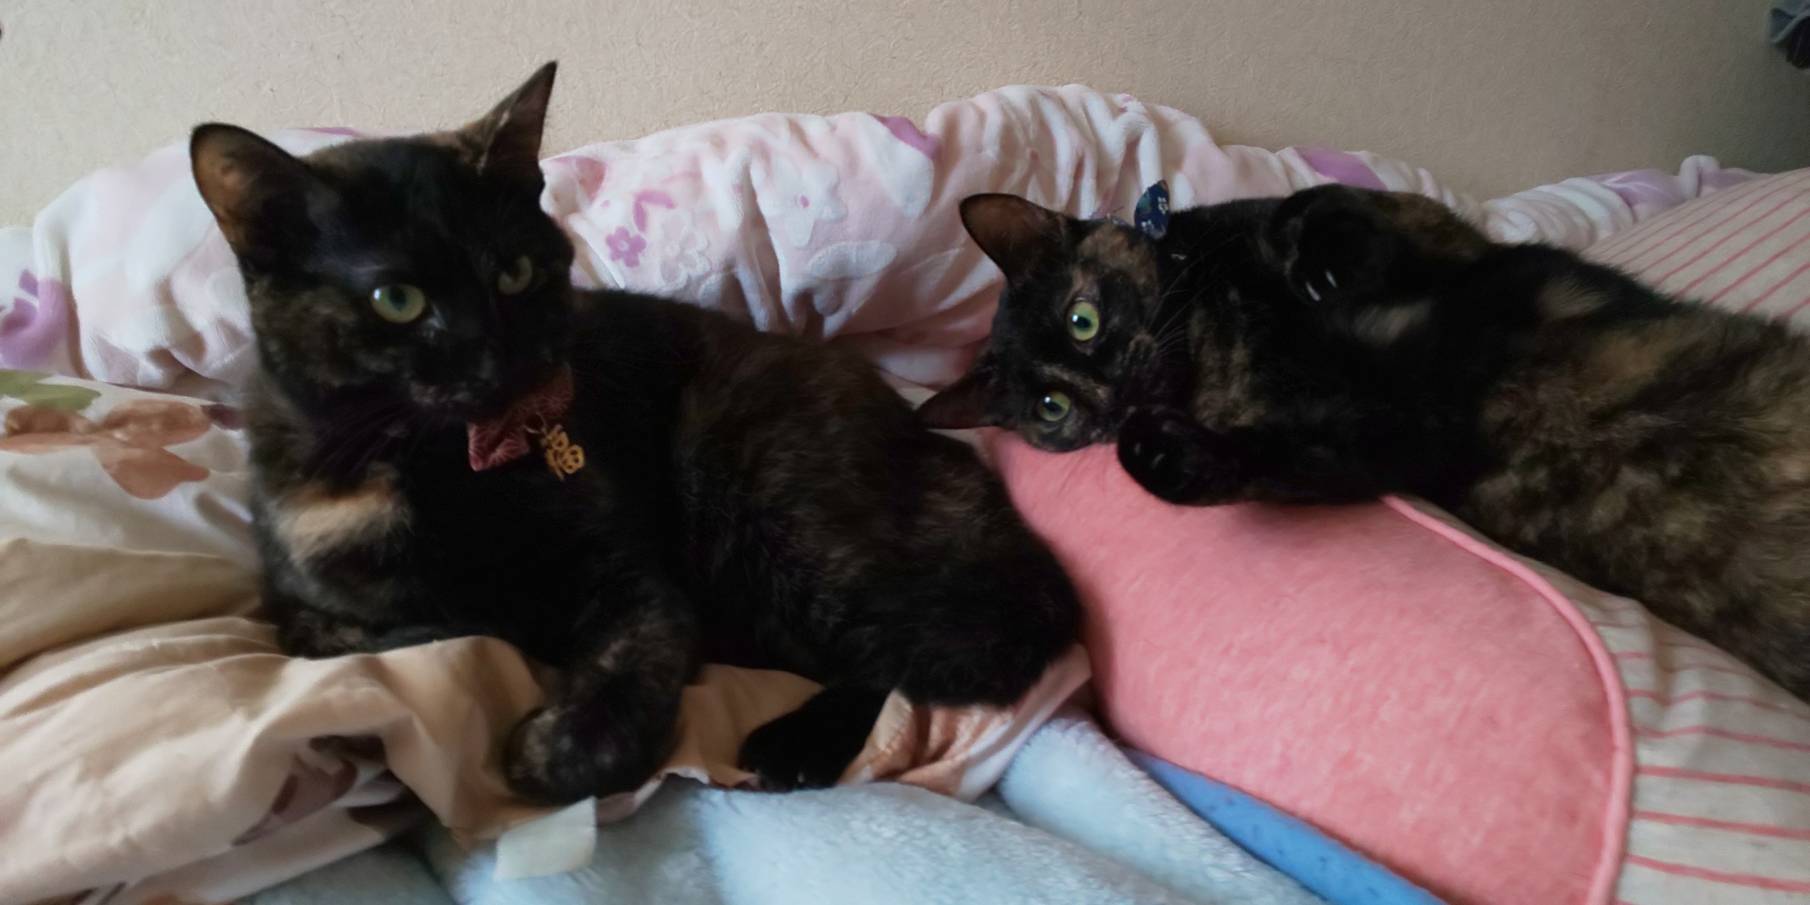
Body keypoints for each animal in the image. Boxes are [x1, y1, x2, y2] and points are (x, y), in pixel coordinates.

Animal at [190, 62, 1080, 803]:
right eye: (397, 301)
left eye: (514, 272)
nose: (502, 351)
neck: (453, 470)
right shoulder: (303, 599)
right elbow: (377, 631)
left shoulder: (632, 578)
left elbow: (629, 661)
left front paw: (561, 754)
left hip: (769, 499)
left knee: (937, 649)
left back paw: (793, 744)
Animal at [920, 183, 1810, 700]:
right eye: (1050, 407)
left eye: (1082, 319)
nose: (1111, 400)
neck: (1213, 322)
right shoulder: (1384, 441)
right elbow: (1279, 458)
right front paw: (1162, 455)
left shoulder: (1437, 238)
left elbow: (1316, 202)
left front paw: (1322, 261)